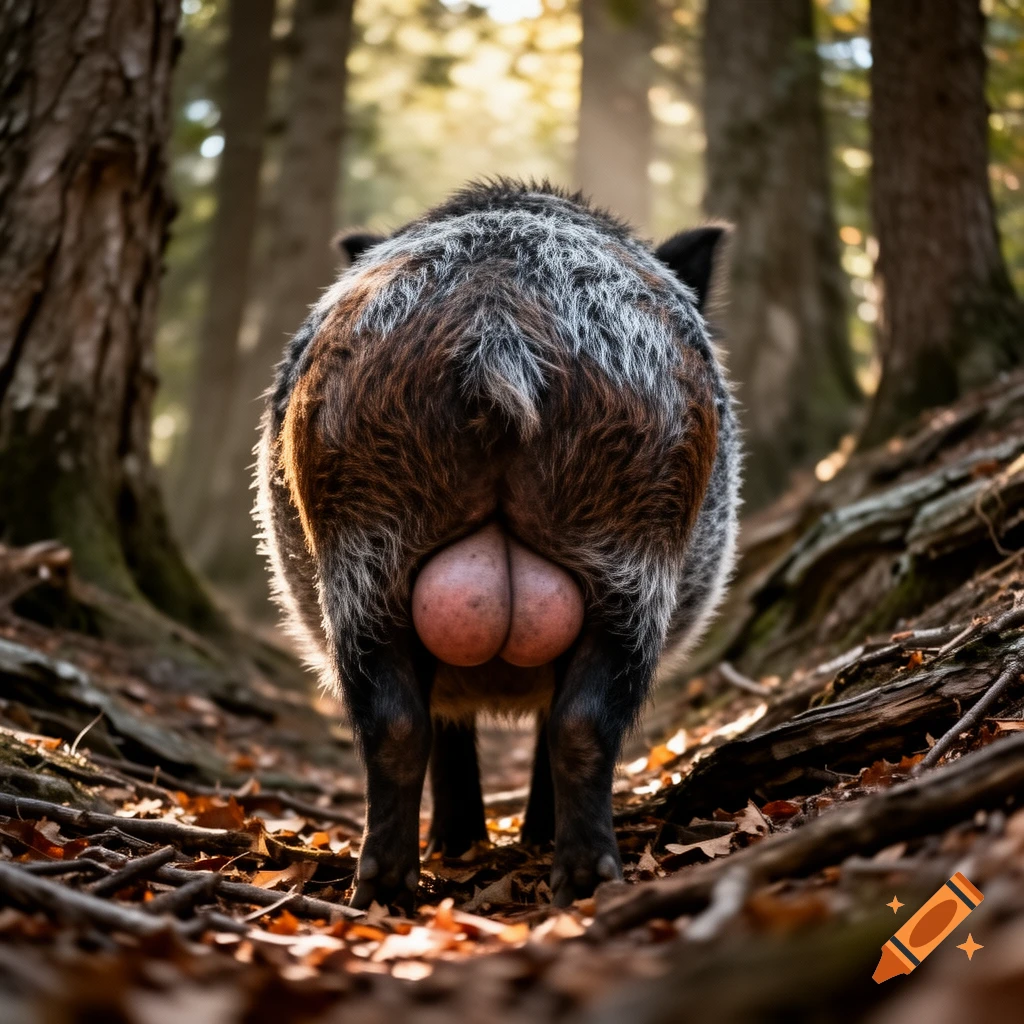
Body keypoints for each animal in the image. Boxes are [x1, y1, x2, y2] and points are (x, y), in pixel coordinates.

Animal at [255, 180, 740, 909]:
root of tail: (497, 333)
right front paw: (474, 843)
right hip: (634, 538)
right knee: (574, 718)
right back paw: (569, 877)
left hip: (369, 555)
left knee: (404, 721)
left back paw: (393, 890)